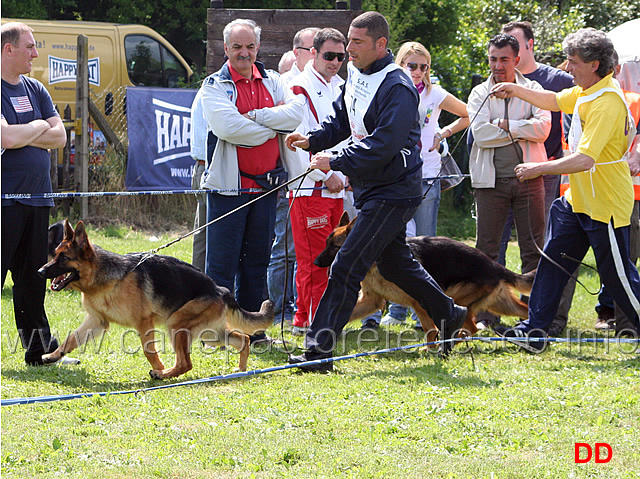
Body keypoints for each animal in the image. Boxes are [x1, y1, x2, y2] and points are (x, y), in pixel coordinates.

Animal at [37, 220, 272, 378]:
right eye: (54, 254)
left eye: (63, 258)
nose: (40, 271)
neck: (106, 278)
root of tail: (220, 289)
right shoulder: (97, 321)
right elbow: (71, 339)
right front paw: (53, 356)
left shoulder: (144, 323)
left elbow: (149, 351)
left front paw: (158, 367)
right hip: (210, 334)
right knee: (243, 339)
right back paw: (240, 370)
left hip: (177, 324)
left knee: (186, 363)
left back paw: (163, 374)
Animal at [316, 215, 536, 344]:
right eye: (326, 243)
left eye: (335, 247)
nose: (316, 262)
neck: (374, 262)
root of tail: (494, 266)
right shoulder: (372, 301)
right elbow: (349, 313)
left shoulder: (419, 301)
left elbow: (430, 329)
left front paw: (429, 348)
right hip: (501, 305)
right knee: (525, 311)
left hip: (458, 299)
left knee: (471, 327)